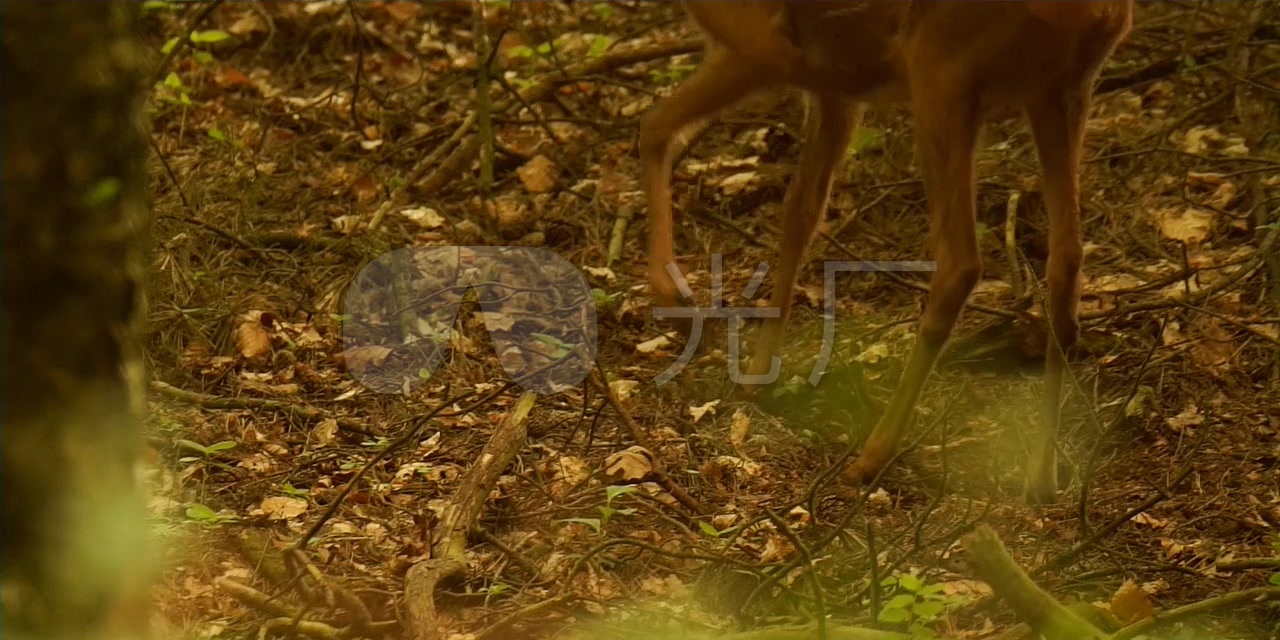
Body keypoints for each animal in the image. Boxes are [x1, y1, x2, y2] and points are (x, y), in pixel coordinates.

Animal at [637, 0, 1131, 501]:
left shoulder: (765, 46)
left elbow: (655, 129)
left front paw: (673, 295)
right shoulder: (833, 83)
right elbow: (800, 214)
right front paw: (758, 371)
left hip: (940, 73)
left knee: (961, 261)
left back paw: (872, 456)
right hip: (1059, 92)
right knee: (1067, 258)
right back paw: (1042, 475)